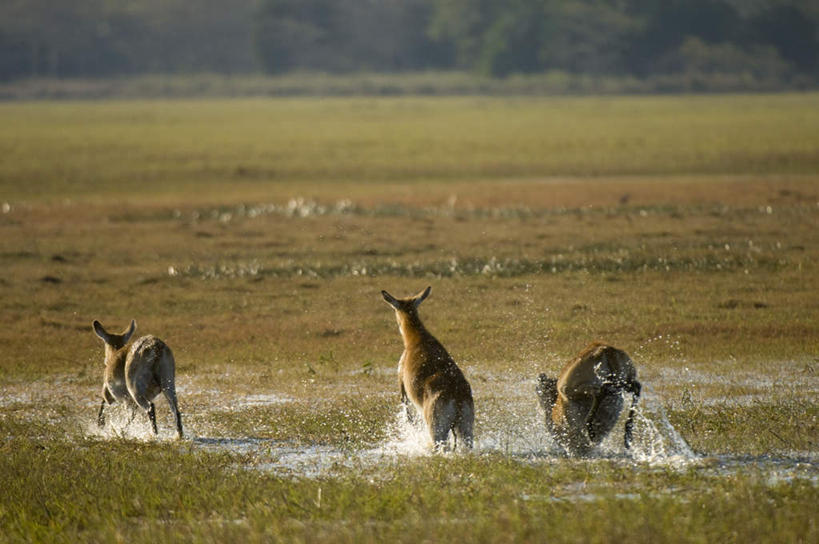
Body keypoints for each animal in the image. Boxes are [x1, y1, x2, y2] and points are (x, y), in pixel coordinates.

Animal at [382, 284, 474, 450]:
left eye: (394, 308)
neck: (417, 340)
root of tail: (456, 395)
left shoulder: (402, 386)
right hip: (465, 428)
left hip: (437, 429)